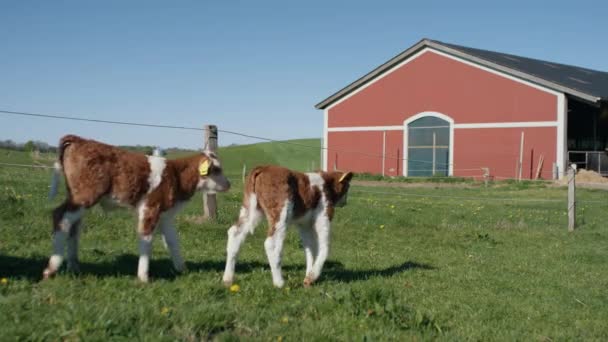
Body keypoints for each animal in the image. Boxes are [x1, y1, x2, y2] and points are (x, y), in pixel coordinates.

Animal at [44, 135, 230, 282]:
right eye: (217, 169)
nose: (229, 184)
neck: (176, 175)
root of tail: (80, 139)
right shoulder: (150, 208)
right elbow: (146, 239)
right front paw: (143, 277)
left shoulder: (166, 215)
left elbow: (173, 241)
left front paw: (182, 269)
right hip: (84, 196)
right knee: (60, 217)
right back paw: (51, 268)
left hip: (78, 200)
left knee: (73, 228)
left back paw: (74, 267)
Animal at [222, 164, 354, 288]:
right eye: (347, 187)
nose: (345, 202)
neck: (325, 184)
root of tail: (263, 167)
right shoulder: (324, 216)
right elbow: (325, 247)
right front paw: (313, 276)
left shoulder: (304, 224)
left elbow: (310, 248)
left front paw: (308, 277)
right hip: (280, 213)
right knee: (271, 243)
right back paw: (279, 282)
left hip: (249, 209)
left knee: (235, 233)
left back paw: (227, 279)